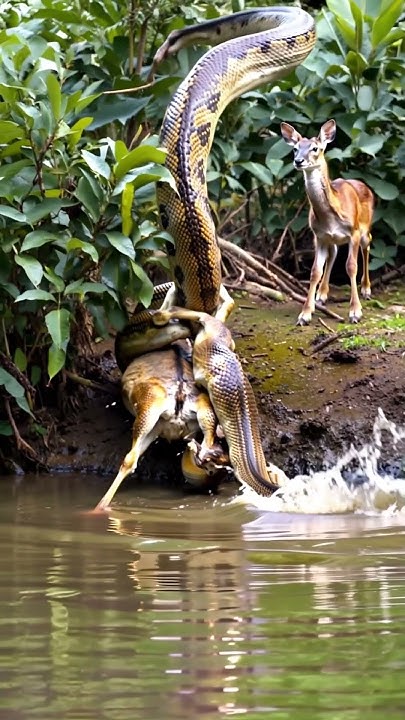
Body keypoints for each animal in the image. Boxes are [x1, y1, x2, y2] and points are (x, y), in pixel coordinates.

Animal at [280, 119, 374, 325]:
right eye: (295, 149)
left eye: (315, 148)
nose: (298, 161)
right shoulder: (319, 236)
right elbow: (315, 271)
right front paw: (305, 314)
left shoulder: (354, 232)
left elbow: (351, 266)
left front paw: (355, 312)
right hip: (331, 239)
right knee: (333, 254)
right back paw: (321, 295)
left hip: (364, 228)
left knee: (368, 244)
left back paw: (366, 289)